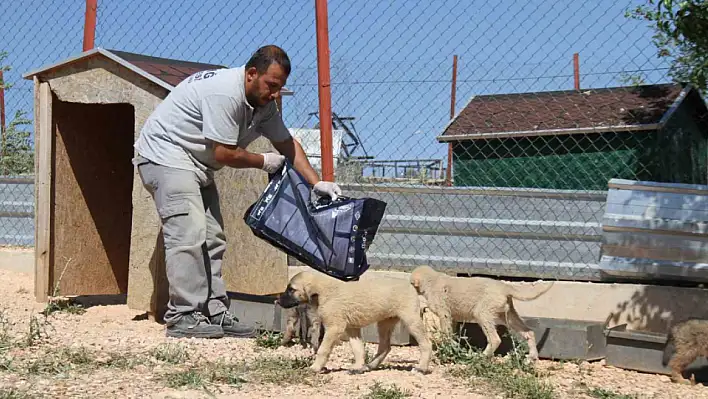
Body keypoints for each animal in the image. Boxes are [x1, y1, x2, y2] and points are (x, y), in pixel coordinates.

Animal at [276, 272, 432, 376]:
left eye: (291, 289)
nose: (277, 301)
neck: (324, 292)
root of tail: (410, 285)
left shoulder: (334, 328)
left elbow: (322, 350)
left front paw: (315, 367)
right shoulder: (352, 328)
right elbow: (358, 349)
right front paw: (358, 366)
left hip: (411, 320)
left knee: (426, 344)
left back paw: (421, 368)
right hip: (384, 323)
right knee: (385, 347)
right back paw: (370, 365)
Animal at [410, 266, 552, 362]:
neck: (432, 280)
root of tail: (504, 286)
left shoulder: (444, 314)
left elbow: (446, 334)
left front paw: (446, 348)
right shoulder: (452, 317)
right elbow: (451, 333)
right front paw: (453, 347)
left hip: (482, 314)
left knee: (495, 339)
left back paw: (481, 356)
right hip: (507, 315)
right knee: (529, 332)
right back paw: (532, 357)